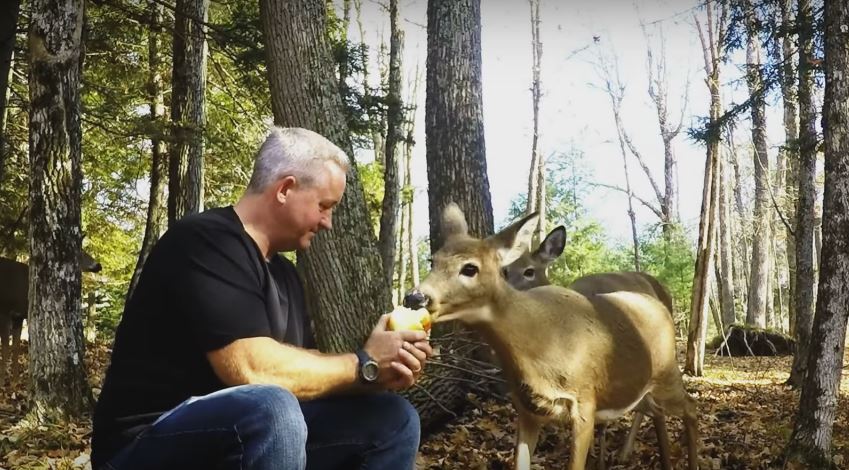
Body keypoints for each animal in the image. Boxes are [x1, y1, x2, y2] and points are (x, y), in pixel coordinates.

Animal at [0, 252, 102, 384]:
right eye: (81, 253)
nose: (98, 265)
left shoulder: (18, 316)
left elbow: (15, 347)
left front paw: (15, 381)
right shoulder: (5, 311)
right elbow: (6, 347)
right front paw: (3, 381)